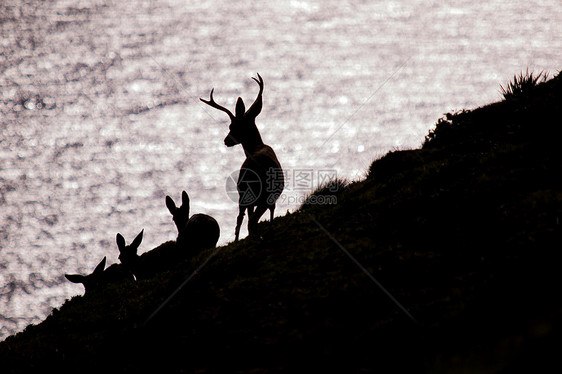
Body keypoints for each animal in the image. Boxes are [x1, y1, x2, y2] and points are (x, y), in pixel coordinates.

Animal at [200, 73, 282, 241]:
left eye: (232, 126)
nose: (226, 140)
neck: (257, 147)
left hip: (245, 195)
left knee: (241, 219)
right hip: (260, 195)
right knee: (250, 220)